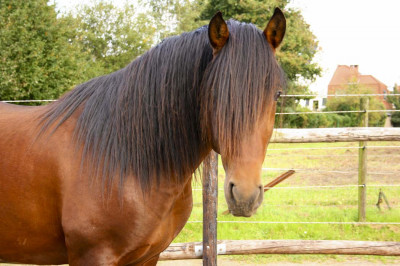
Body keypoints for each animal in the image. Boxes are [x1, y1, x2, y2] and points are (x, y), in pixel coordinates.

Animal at [0, 8, 288, 266]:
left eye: (277, 94)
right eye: (214, 93)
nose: (245, 196)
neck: (123, 156)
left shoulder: (148, 256)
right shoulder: (92, 256)